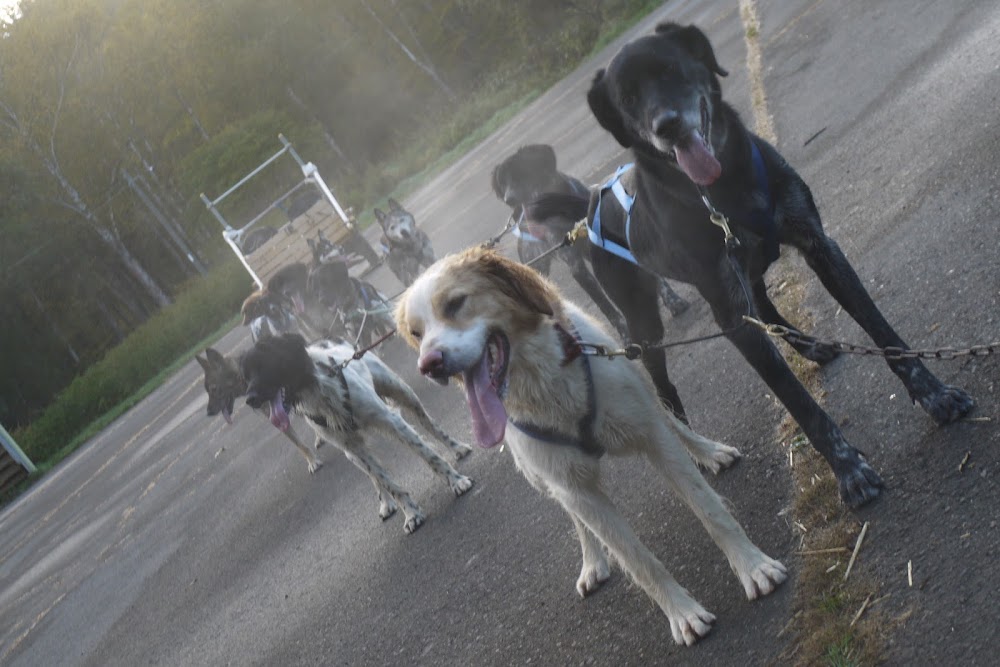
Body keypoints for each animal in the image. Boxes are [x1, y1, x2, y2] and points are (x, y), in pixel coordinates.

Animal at [394, 249, 784, 648]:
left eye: (455, 303)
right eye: (416, 333)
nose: (428, 365)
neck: (547, 387)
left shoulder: (652, 436)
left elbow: (710, 510)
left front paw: (753, 566)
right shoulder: (573, 488)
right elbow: (636, 559)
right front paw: (683, 614)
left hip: (642, 390)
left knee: (672, 420)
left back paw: (709, 451)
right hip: (540, 477)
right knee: (576, 518)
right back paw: (593, 561)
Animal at [536, 23, 972, 508]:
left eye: (670, 69)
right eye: (627, 99)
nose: (666, 126)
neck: (722, 188)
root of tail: (589, 206)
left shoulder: (821, 248)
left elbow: (884, 334)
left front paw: (935, 395)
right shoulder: (732, 317)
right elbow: (797, 400)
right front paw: (849, 471)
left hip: (747, 273)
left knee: (764, 303)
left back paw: (810, 346)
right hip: (645, 323)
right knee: (663, 384)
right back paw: (697, 445)